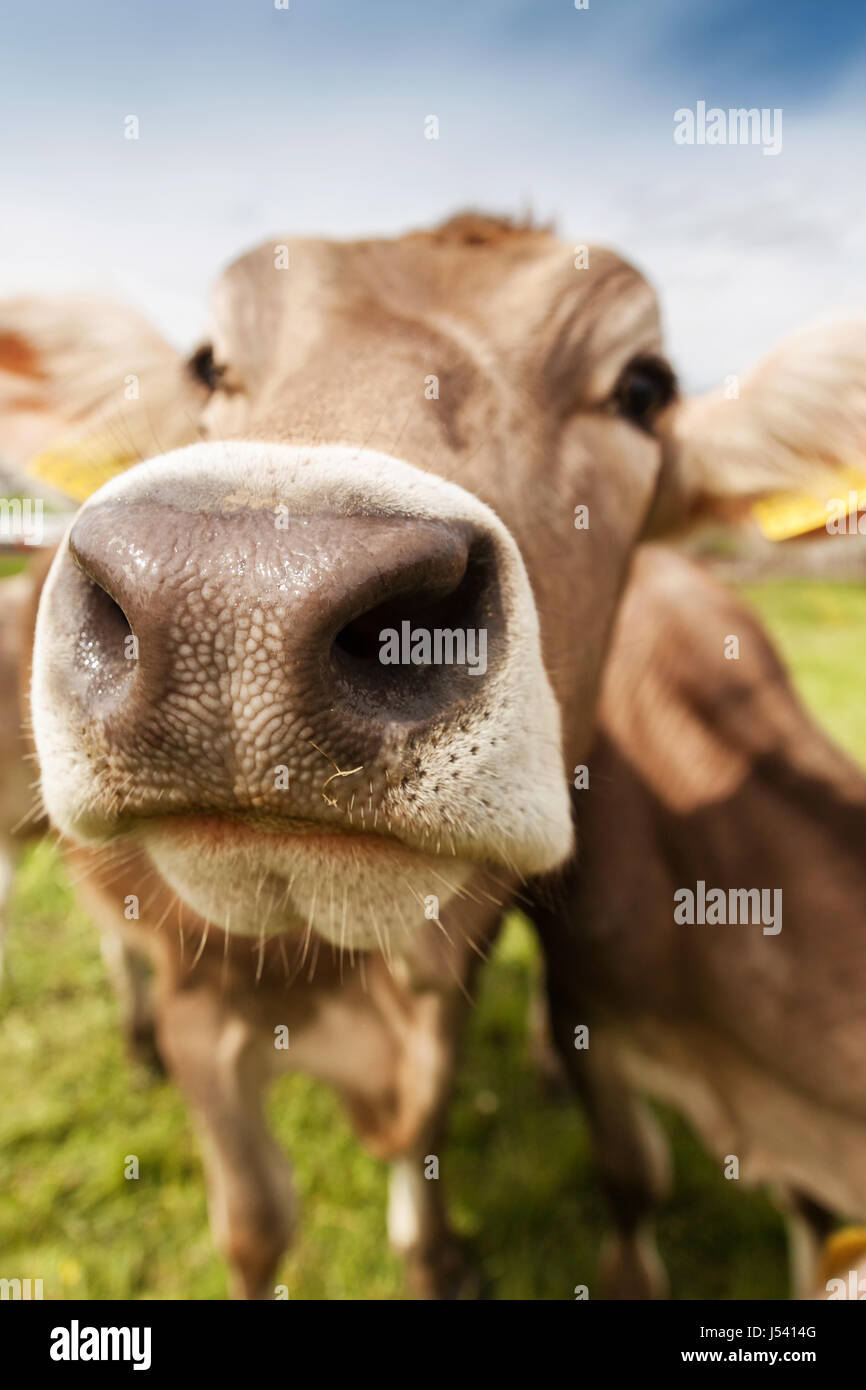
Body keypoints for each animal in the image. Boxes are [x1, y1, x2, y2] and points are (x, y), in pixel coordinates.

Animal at [5, 211, 866, 1295]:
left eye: (642, 389)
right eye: (208, 366)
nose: (240, 595)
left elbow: (426, 1152)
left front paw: (439, 1252)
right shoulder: (201, 1004)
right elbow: (254, 1229)